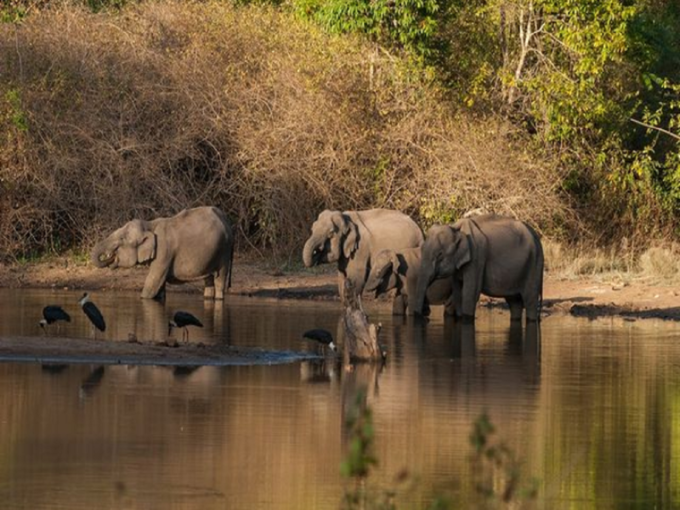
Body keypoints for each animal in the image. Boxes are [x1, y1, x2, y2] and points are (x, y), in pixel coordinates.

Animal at [91, 206, 234, 300]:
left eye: (121, 239)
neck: (149, 224)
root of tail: (228, 221)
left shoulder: (164, 251)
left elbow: (153, 282)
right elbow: (160, 288)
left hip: (225, 250)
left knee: (220, 279)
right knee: (208, 280)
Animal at [412, 213, 544, 320]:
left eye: (440, 255)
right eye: (421, 249)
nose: (424, 315)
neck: (455, 228)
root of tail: (536, 236)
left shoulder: (477, 256)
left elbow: (470, 293)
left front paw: (467, 319)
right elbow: (458, 292)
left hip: (534, 263)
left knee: (530, 300)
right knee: (514, 302)